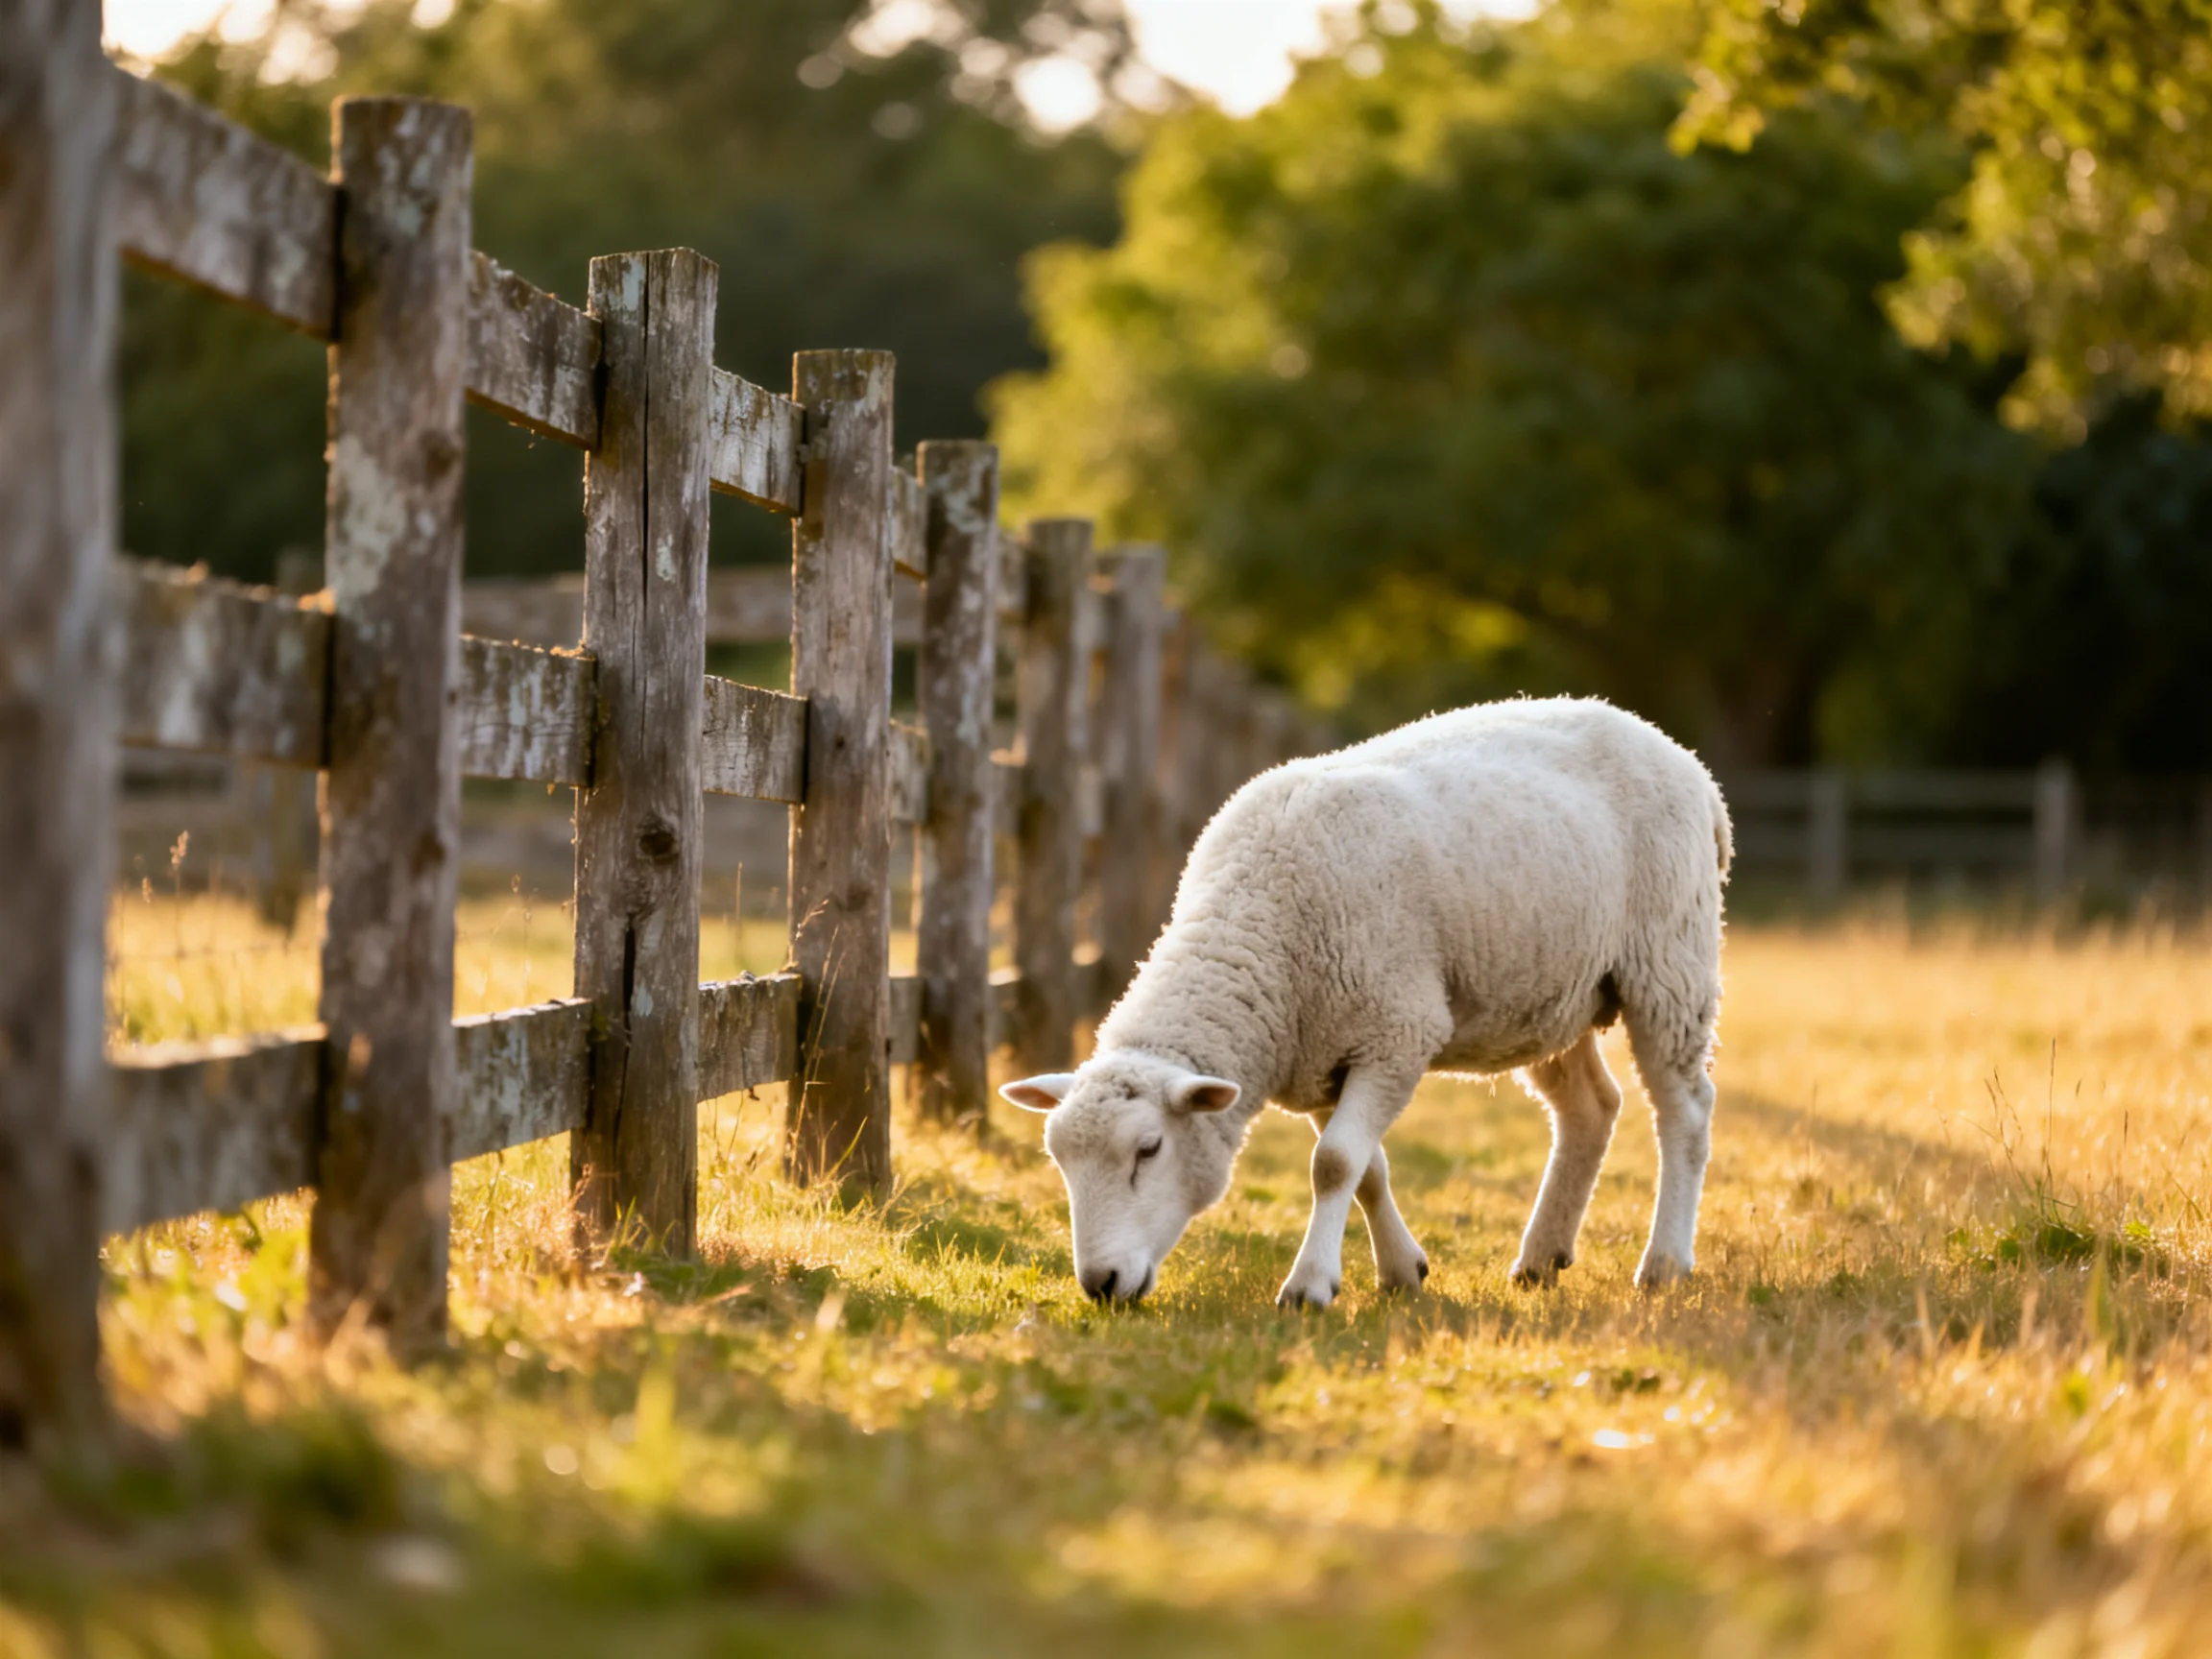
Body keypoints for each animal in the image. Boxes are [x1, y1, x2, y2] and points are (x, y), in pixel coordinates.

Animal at [1001, 696, 1731, 1310]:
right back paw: (1541, 1258)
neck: (1258, 926)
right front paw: (1402, 1271)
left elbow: (1333, 1166)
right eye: (1060, 1160)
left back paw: (1664, 1263)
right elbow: (1366, 1169)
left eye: (1148, 1149)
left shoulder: (1396, 1031)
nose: (1100, 1283)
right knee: (1590, 1109)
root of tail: (1685, 761)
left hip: (1669, 959)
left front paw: (1309, 1286)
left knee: (1686, 1110)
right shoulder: (1322, 1055)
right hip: (1550, 991)